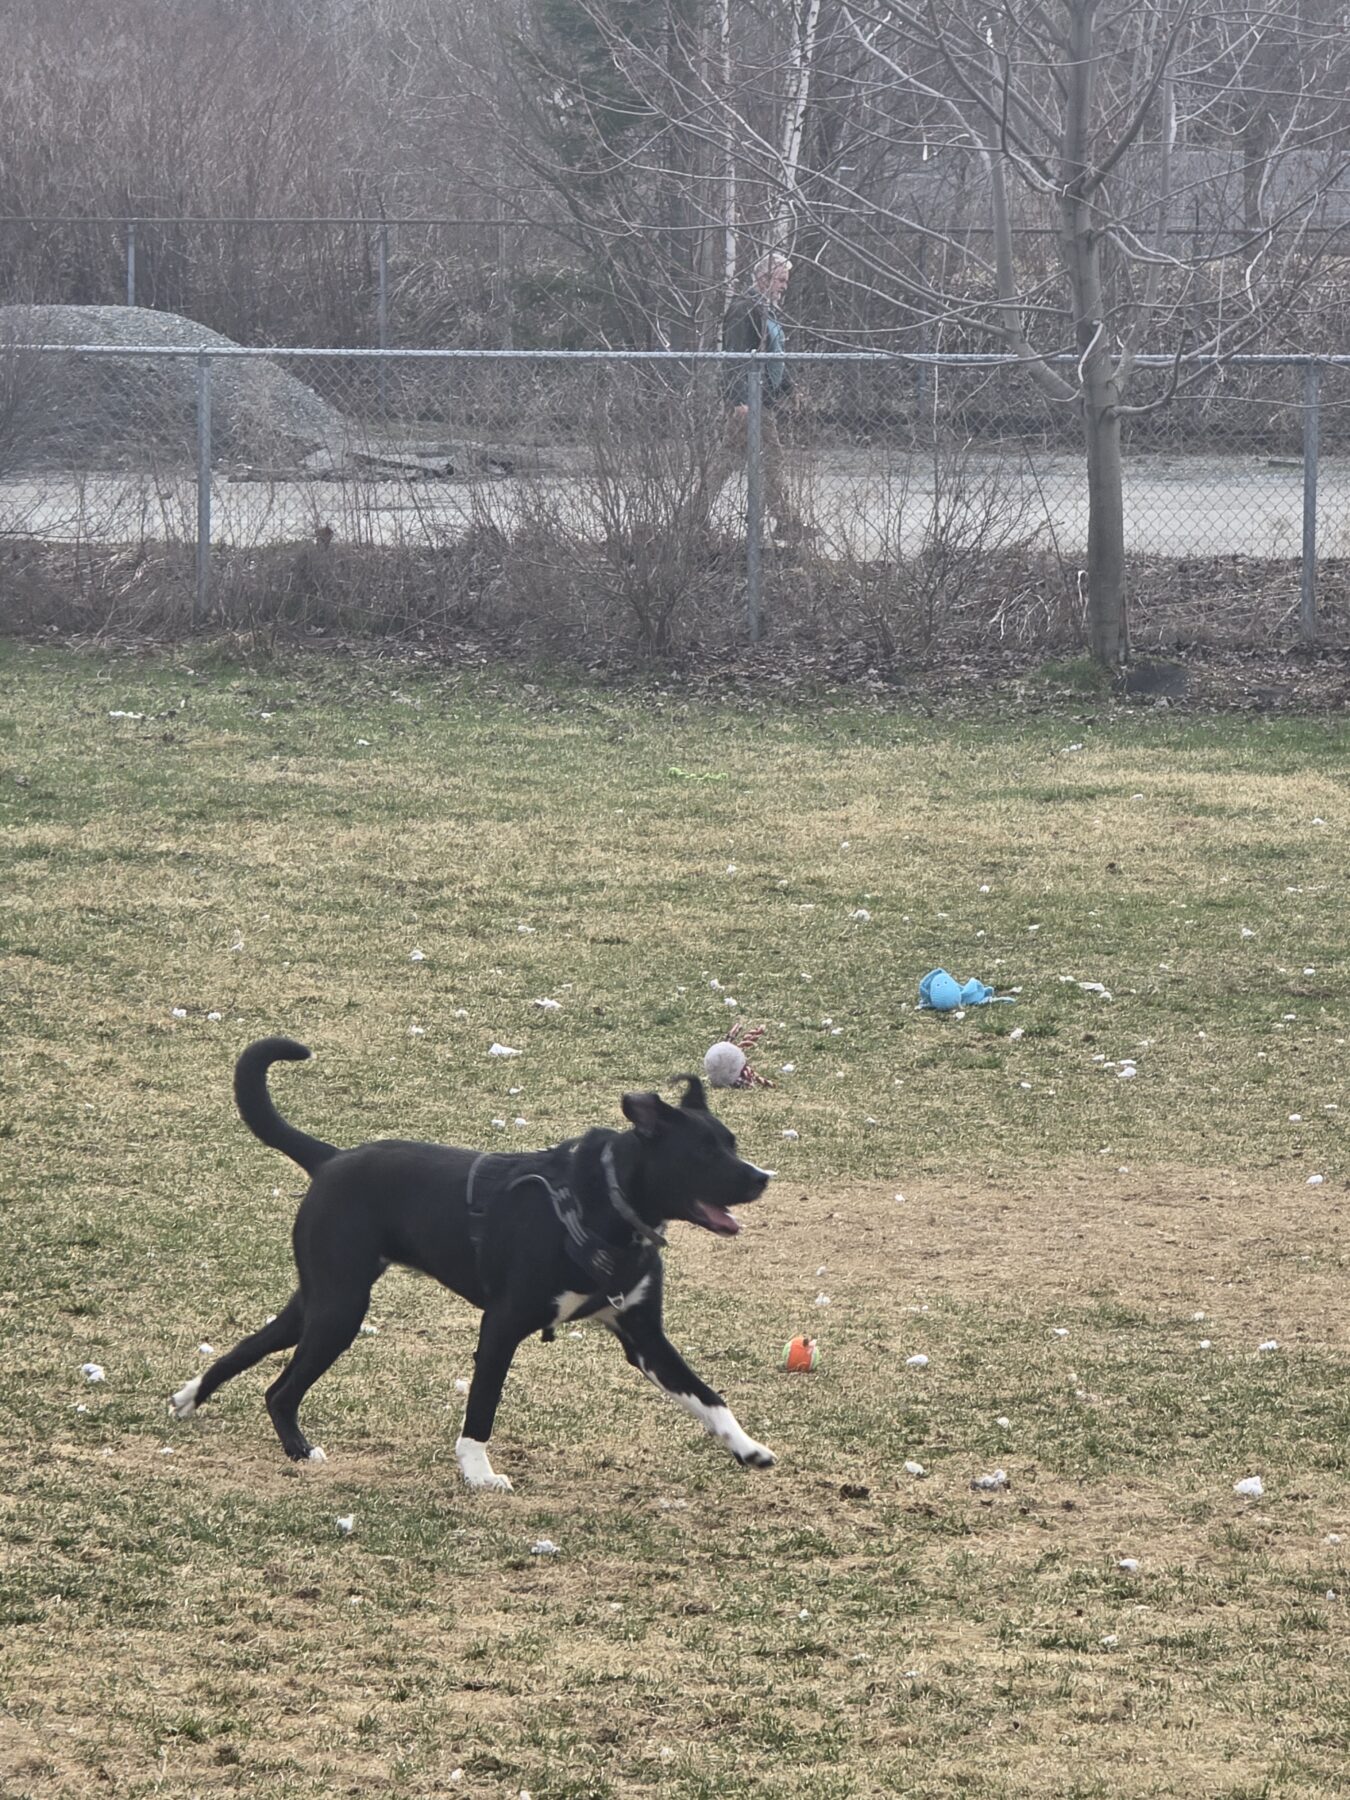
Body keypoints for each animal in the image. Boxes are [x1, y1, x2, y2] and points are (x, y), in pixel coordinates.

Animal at [170, 1037, 776, 1489]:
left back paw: (190, 1397)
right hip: (340, 1310)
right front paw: (479, 1473)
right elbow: (483, 1403)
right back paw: (298, 1449)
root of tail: (332, 1159)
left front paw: (749, 1449)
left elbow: (709, 1398)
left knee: (252, 1347)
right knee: (280, 1390)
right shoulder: (502, 1325)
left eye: (731, 1142)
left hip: (319, 1301)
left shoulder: (644, 1337)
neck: (606, 1207)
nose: (762, 1177)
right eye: (704, 1153)